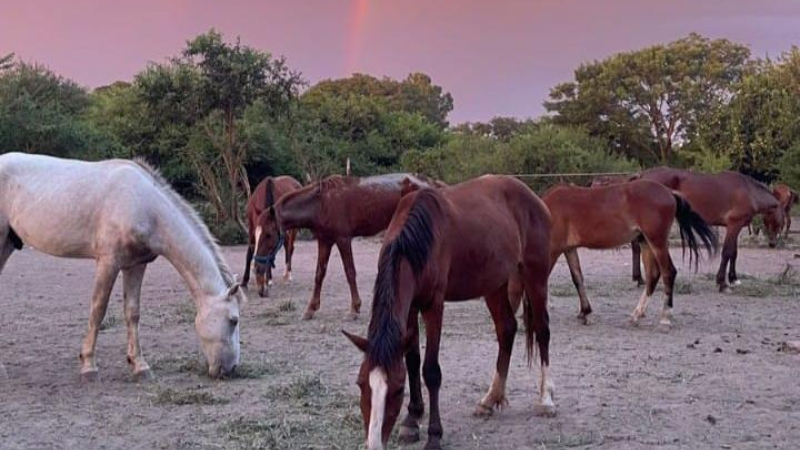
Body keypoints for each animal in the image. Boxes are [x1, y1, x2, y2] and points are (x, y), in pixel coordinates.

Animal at [0, 153, 243, 381]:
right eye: (233, 320)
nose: (231, 369)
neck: (143, 204)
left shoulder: (135, 265)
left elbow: (132, 313)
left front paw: (140, 366)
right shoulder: (108, 262)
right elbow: (98, 310)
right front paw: (89, 367)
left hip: (8, 245)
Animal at [275, 173, 440, 320]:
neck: (321, 202)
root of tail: (431, 183)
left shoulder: (343, 239)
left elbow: (350, 272)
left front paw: (354, 309)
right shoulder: (324, 240)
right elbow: (319, 273)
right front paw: (310, 309)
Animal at [343, 175, 554, 450]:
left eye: (398, 389)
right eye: (361, 384)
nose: (375, 443)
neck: (416, 243)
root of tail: (532, 196)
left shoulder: (433, 305)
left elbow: (431, 370)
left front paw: (434, 435)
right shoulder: (411, 307)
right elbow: (412, 361)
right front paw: (412, 419)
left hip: (535, 275)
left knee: (542, 330)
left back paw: (546, 399)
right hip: (494, 283)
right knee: (506, 329)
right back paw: (490, 399)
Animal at [543, 180, 718, 326]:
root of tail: (669, 193)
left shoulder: (554, 249)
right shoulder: (569, 249)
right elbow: (577, 278)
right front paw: (585, 312)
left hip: (657, 243)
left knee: (668, 273)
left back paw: (665, 316)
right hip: (646, 243)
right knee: (653, 275)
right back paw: (637, 314)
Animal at [636, 167, 785, 290]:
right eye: (781, 221)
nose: (773, 243)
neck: (749, 192)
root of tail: (642, 175)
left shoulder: (734, 227)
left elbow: (734, 253)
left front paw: (733, 279)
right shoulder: (734, 225)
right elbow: (727, 252)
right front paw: (722, 283)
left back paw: (640, 279)